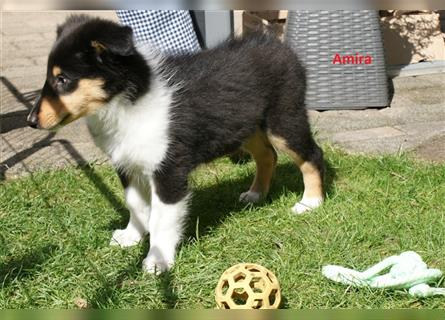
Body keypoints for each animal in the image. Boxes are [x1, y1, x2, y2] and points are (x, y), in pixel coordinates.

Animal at [29, 15, 324, 274]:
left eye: (63, 79)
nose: (31, 121)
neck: (126, 102)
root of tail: (279, 45)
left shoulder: (169, 170)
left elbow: (161, 219)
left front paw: (157, 261)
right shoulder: (127, 163)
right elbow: (135, 205)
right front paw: (130, 237)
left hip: (283, 119)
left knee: (312, 154)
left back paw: (310, 202)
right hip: (247, 126)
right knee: (267, 156)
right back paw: (255, 194)